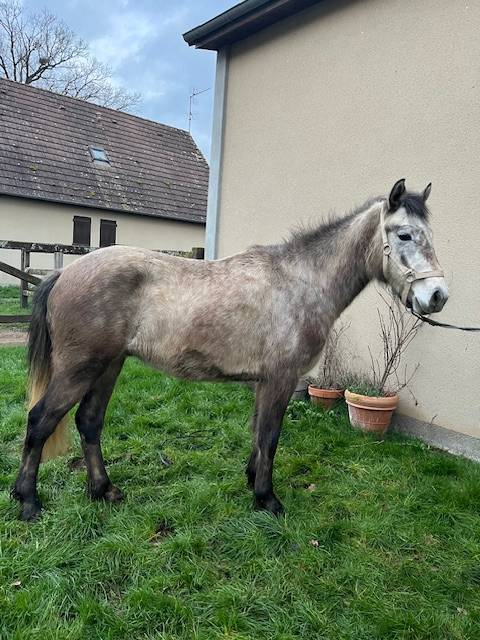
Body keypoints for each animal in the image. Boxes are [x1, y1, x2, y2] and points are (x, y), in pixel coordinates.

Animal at [12, 179, 448, 521]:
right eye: (404, 235)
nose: (437, 295)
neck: (301, 283)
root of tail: (64, 272)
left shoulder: (264, 382)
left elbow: (257, 432)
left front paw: (253, 481)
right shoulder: (280, 379)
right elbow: (270, 436)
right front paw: (268, 499)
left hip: (108, 366)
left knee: (89, 422)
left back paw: (103, 490)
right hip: (79, 369)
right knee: (40, 421)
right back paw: (29, 502)